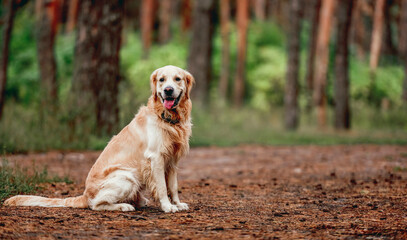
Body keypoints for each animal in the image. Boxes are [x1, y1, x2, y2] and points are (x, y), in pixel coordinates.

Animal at [4, 64, 195, 213]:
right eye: (162, 80)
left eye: (177, 79)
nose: (168, 90)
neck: (168, 119)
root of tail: (84, 194)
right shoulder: (156, 158)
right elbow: (162, 187)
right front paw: (167, 206)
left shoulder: (172, 160)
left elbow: (173, 186)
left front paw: (178, 204)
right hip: (126, 177)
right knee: (96, 204)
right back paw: (123, 206)